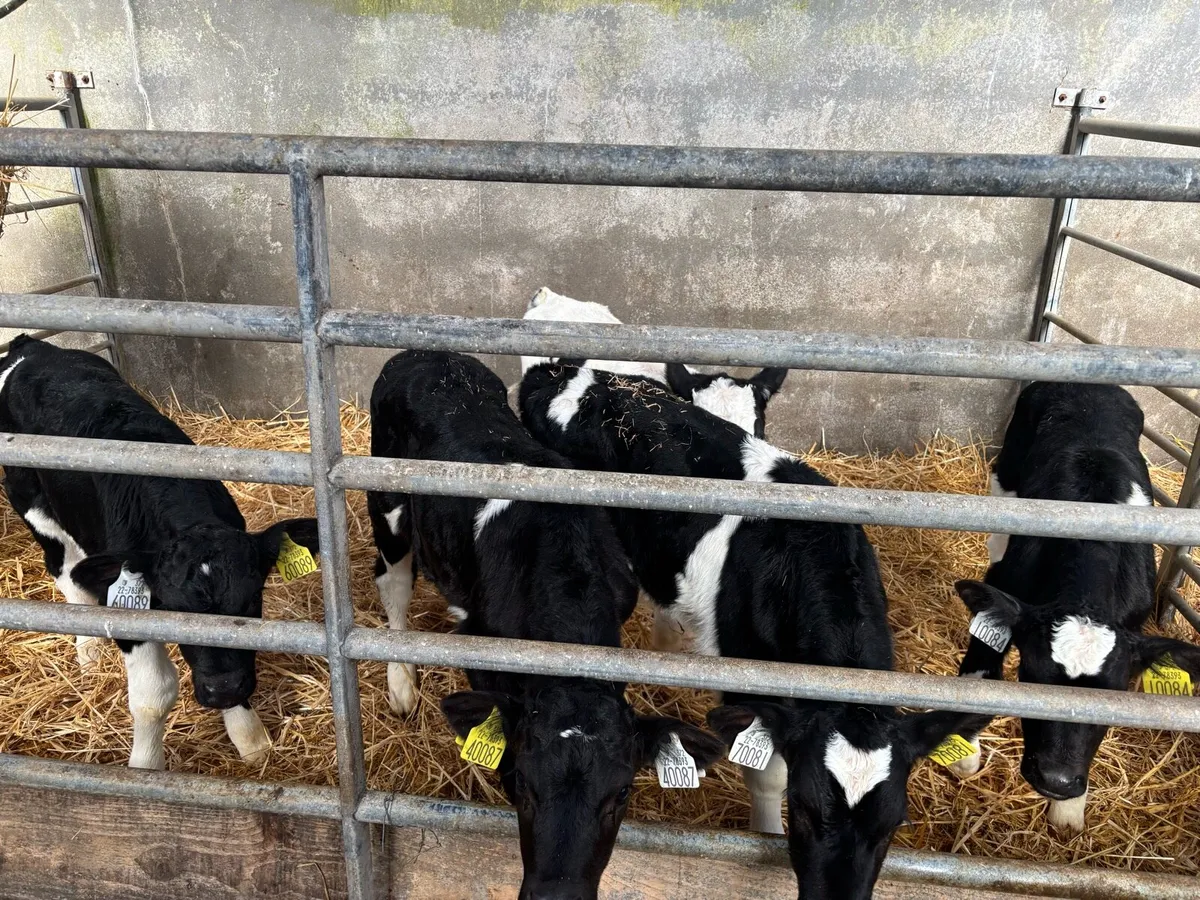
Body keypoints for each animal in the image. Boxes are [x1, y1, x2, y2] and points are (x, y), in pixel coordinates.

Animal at [0, 335, 320, 770]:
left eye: (253, 598)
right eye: (172, 608)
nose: (223, 690)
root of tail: (28, 347)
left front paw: (250, 740)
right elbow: (154, 695)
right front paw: (146, 766)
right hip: (30, 502)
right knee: (65, 569)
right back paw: (88, 650)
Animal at [367, 350, 723, 900]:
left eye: (623, 793)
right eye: (522, 783)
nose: (558, 895)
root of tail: (426, 353)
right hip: (387, 505)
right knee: (394, 584)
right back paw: (401, 684)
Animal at [519, 363, 987, 900]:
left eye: (893, 824)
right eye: (804, 811)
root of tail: (555, 369)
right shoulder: (748, 681)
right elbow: (766, 776)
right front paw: (765, 833)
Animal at [950, 381, 1200, 832]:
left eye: (1114, 695)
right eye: (1032, 677)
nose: (1056, 780)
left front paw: (1068, 811)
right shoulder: (1003, 586)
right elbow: (981, 664)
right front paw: (963, 750)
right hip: (1003, 483)